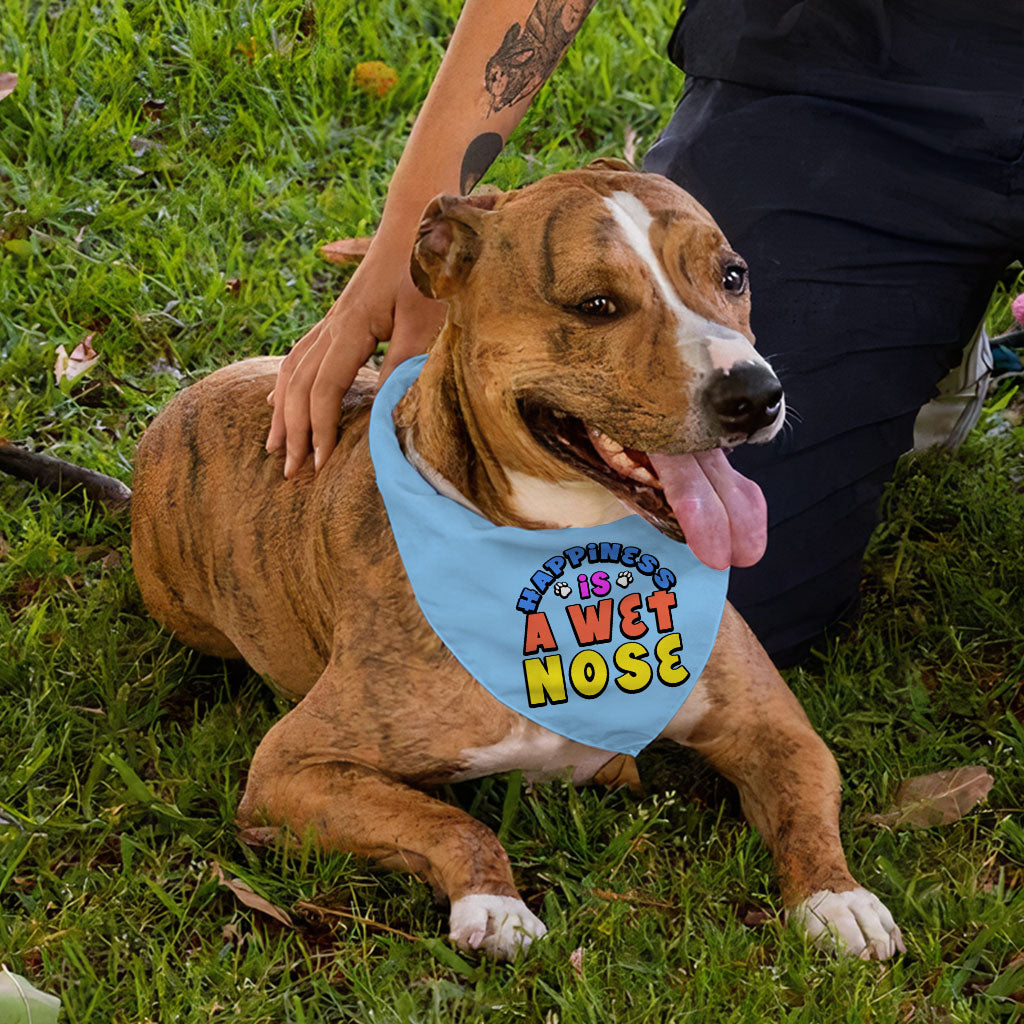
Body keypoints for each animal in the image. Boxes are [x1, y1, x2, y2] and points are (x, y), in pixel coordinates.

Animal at [130, 165, 905, 958]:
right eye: (596, 305)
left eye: (733, 275)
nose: (755, 393)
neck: (573, 563)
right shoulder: (293, 766)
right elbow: (451, 821)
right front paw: (493, 904)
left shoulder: (775, 728)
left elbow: (805, 808)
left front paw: (837, 897)